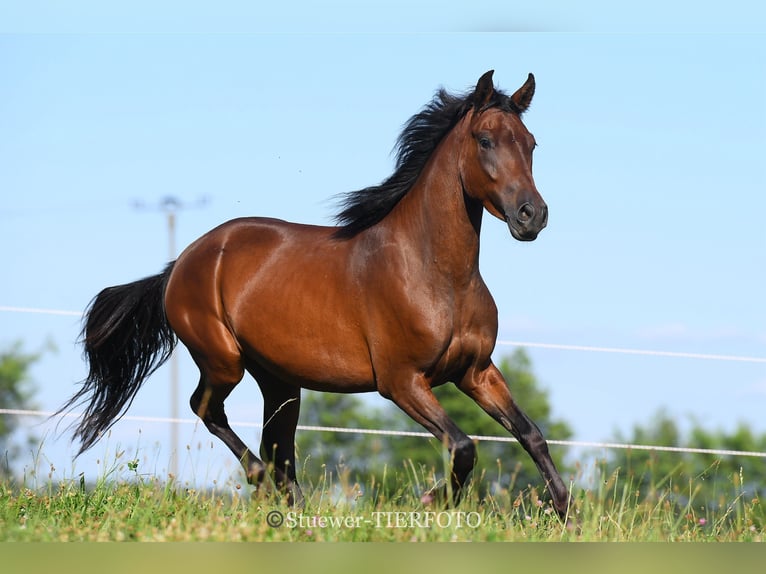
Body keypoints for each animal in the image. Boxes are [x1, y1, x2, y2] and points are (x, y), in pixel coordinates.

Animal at [61, 70, 568, 520]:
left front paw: (565, 514)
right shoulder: (402, 381)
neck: (437, 275)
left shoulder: (476, 372)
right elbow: (463, 446)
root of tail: (181, 264)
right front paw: (431, 502)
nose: (532, 215)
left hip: (279, 380)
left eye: (531, 143)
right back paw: (269, 487)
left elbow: (531, 435)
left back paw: (295, 507)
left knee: (276, 445)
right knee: (208, 410)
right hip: (224, 360)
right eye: (484, 140)